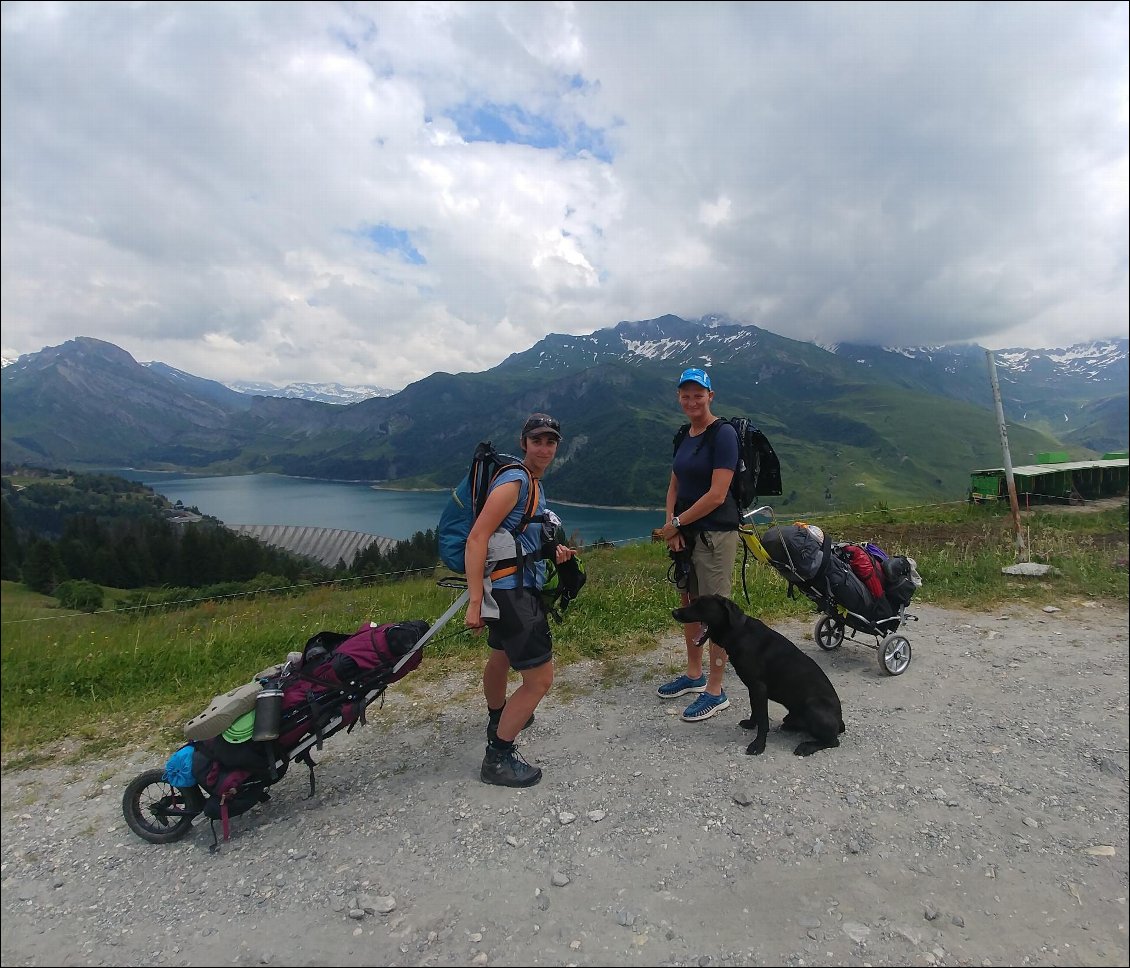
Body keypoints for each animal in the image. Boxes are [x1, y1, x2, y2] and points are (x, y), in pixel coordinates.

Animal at [664, 591, 845, 759]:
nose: (674, 612)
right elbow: (755, 710)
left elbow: (763, 720)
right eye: (692, 601)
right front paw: (751, 724)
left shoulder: (759, 688)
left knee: (833, 741)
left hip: (813, 707)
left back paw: (806, 746)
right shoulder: (753, 688)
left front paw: (758, 745)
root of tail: (840, 721)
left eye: (701, 606)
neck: (738, 632)